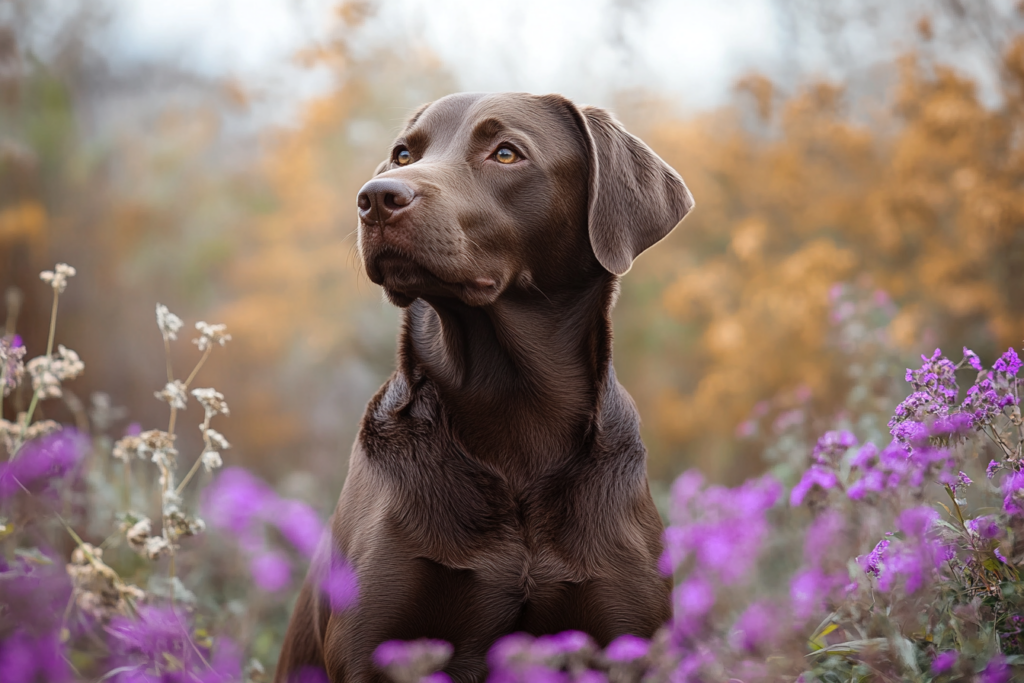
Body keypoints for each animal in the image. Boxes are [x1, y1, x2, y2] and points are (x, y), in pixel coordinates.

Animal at [276, 92, 696, 683]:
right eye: (403, 154)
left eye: (505, 153)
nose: (376, 198)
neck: (515, 410)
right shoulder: (370, 643)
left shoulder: (629, 636)